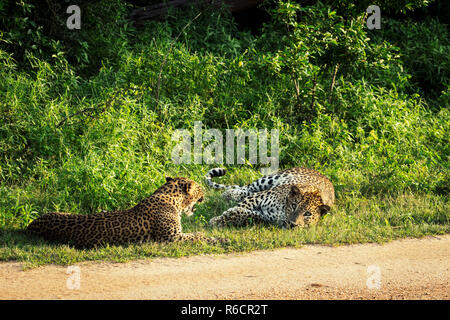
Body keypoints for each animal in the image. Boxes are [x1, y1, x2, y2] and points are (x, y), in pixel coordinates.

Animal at [27, 178, 225, 248]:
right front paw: (219, 239)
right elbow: (197, 236)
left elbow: (196, 234)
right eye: (199, 188)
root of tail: (31, 225)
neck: (169, 196)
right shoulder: (172, 237)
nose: (205, 194)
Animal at [205, 168, 334, 228]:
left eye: (308, 214)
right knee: (246, 188)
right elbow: (241, 206)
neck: (283, 211)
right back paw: (227, 195)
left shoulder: (266, 217)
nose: (292, 224)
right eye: (294, 206)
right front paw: (218, 219)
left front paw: (228, 216)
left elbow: (249, 215)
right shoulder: (258, 197)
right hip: (267, 180)